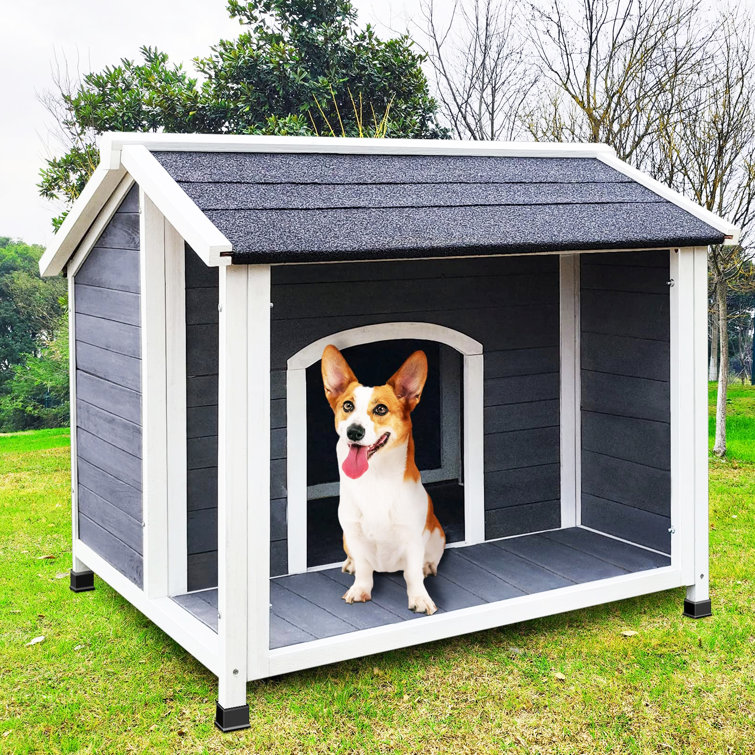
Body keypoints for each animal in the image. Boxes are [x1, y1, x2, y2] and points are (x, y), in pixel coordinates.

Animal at [322, 346, 446, 616]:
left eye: (380, 409)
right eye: (347, 405)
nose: (354, 432)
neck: (375, 478)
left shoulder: (412, 537)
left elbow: (412, 574)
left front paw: (420, 598)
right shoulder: (353, 533)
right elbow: (364, 569)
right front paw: (360, 588)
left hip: (437, 534)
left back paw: (428, 566)